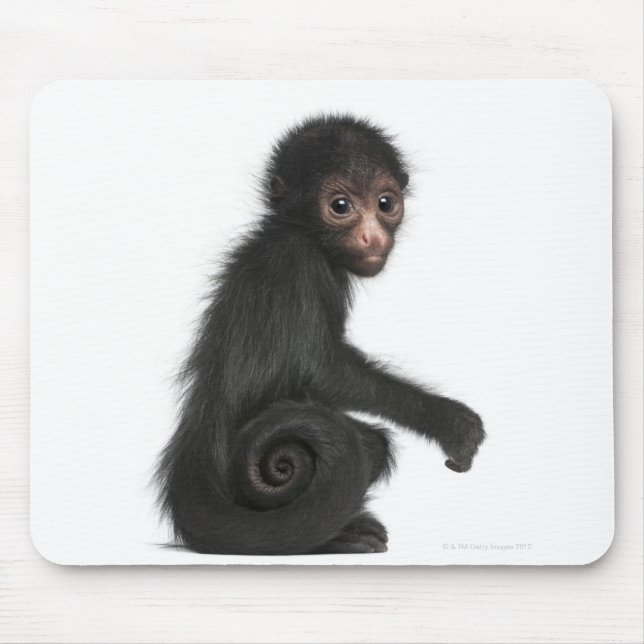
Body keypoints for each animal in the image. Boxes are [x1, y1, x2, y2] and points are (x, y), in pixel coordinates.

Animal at [155, 113, 485, 555]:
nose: (372, 236)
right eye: (340, 206)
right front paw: (449, 421)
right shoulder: (297, 263)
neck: (295, 232)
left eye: (385, 203)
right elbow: (320, 371)